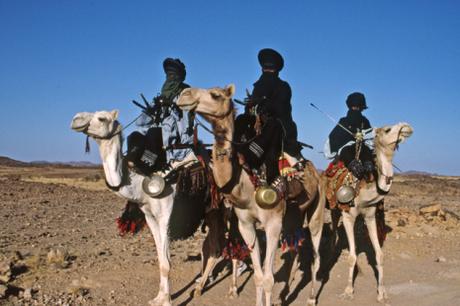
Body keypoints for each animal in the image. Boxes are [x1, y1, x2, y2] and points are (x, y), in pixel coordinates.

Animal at [177, 84, 328, 306]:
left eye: (215, 95)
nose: (184, 95)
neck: (246, 184)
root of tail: (315, 171)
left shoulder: (273, 223)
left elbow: (268, 278)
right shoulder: (245, 224)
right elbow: (258, 275)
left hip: (317, 208)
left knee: (316, 257)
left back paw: (310, 298)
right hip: (294, 214)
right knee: (295, 249)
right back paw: (284, 294)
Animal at [328, 121, 414, 302]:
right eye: (388, 130)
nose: (407, 126)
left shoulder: (370, 216)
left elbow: (379, 254)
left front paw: (382, 293)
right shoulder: (348, 215)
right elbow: (352, 256)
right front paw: (348, 291)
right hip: (334, 208)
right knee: (333, 229)